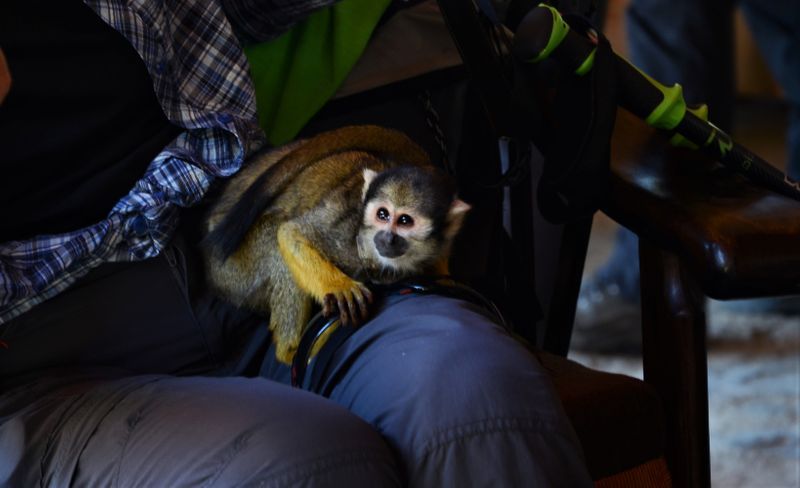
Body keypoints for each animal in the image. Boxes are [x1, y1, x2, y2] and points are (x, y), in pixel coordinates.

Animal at [203, 126, 472, 362]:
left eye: (405, 221)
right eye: (382, 215)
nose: (386, 238)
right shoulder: (344, 230)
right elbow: (292, 233)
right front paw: (340, 286)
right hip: (234, 274)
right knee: (273, 237)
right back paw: (290, 352)